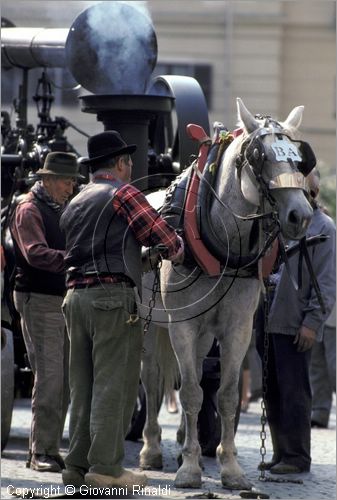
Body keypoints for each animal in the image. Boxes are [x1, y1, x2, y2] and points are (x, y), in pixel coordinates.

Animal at [138, 97, 312, 488]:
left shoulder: (238, 329)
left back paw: (183, 444)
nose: (301, 215)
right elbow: (189, 390)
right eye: (260, 156)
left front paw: (229, 468)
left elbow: (227, 395)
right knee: (152, 378)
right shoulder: (182, 326)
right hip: (150, 321)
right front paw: (189, 470)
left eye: (298, 159)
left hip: (201, 333)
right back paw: (151, 448)